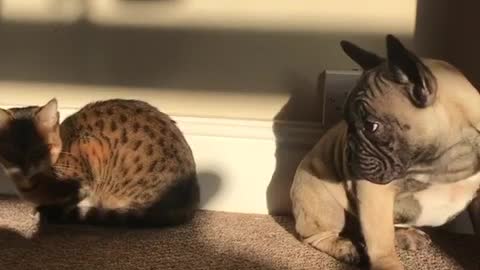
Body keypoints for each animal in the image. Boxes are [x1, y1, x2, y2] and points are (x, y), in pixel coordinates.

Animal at [0, 98, 199, 227]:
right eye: (11, 152)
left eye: (42, 149)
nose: (26, 169)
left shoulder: (85, 173)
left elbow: (69, 201)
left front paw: (49, 212)